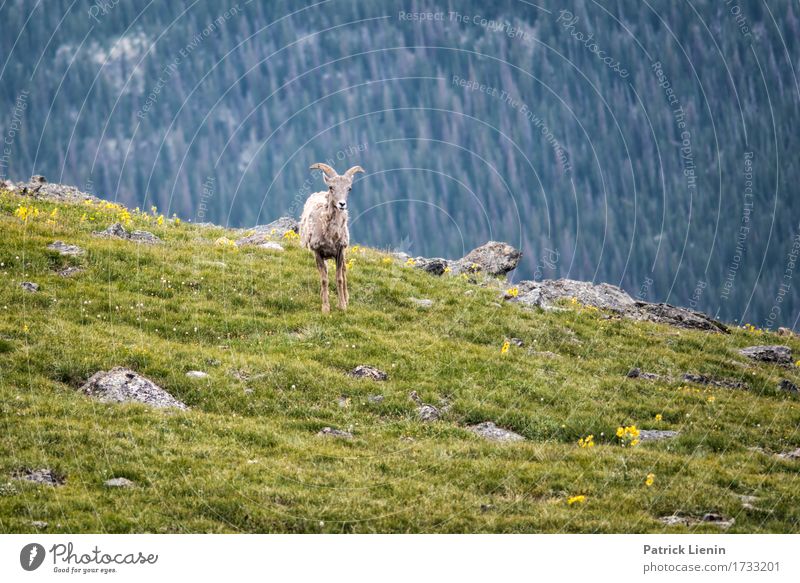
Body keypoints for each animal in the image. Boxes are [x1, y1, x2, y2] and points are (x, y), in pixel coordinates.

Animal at [300, 162, 366, 312]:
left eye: (349, 188)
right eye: (331, 187)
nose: (342, 204)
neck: (330, 235)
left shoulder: (340, 251)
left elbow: (339, 278)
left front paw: (342, 306)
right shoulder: (318, 252)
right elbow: (324, 279)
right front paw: (325, 308)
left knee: (344, 272)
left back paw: (346, 298)